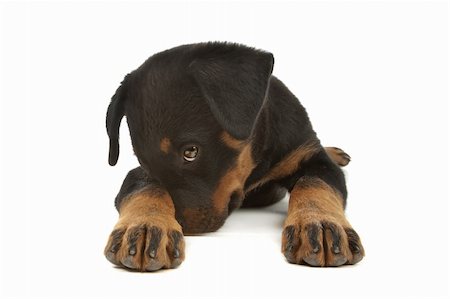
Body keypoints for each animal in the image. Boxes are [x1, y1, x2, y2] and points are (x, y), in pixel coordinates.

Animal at [104, 41, 366, 272]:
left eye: (191, 151)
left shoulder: (313, 158)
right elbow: (147, 189)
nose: (184, 226)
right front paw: (145, 227)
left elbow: (314, 185)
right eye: (142, 160)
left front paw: (319, 225)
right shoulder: (138, 174)